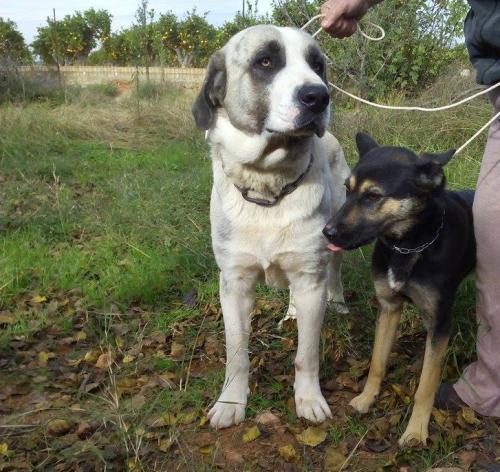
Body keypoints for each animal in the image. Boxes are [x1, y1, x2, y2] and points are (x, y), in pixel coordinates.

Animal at [193, 26, 350, 432]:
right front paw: (231, 402)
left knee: (333, 273)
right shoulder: (234, 284)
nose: (318, 96)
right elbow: (237, 354)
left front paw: (309, 399)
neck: (268, 186)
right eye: (265, 61)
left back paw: (338, 301)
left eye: (318, 65)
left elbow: (307, 354)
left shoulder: (311, 277)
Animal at [324, 133, 476, 446]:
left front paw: (416, 430)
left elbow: (426, 384)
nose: (326, 232)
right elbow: (377, 362)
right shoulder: (389, 307)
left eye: (372, 196)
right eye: (347, 189)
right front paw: (366, 398)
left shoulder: (440, 324)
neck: (409, 244)